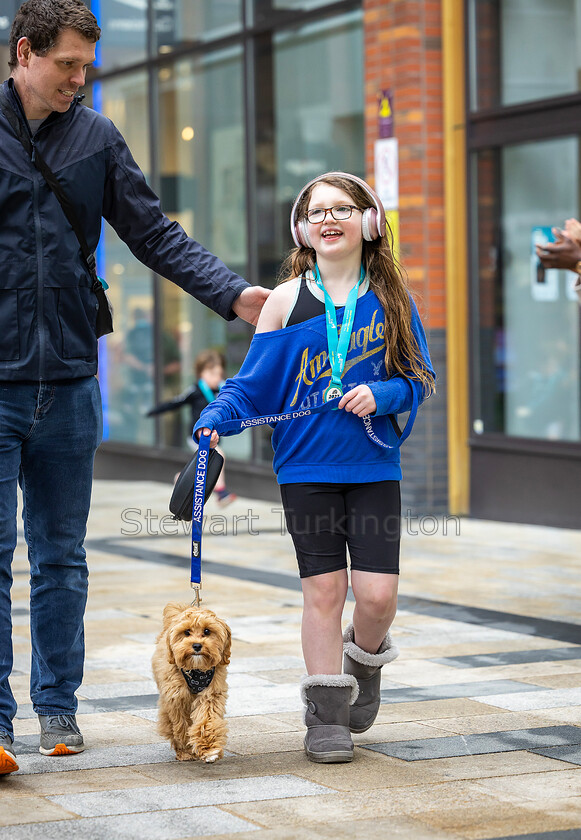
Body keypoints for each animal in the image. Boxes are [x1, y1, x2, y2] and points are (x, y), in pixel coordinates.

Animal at [152, 604, 231, 760]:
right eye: (187, 632)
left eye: (207, 631)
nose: (197, 645)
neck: (196, 671)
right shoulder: (176, 699)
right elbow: (181, 725)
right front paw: (186, 750)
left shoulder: (211, 695)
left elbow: (207, 719)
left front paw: (209, 749)